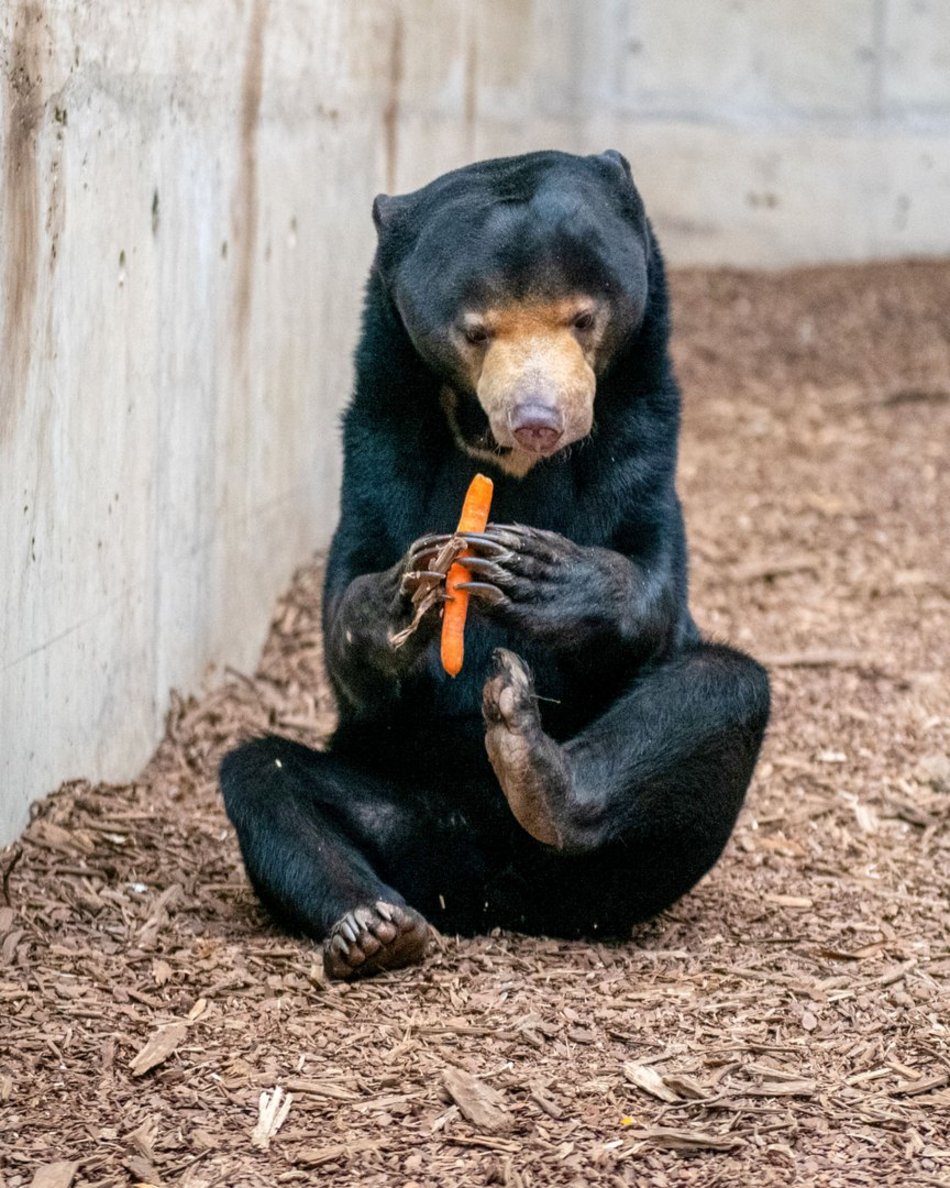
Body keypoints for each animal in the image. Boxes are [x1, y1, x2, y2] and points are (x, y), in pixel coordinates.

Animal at [218, 150, 769, 974]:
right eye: (476, 331)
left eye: (583, 316)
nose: (539, 419)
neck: (500, 452)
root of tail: (491, 893)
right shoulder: (379, 435)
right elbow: (348, 609)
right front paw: (404, 597)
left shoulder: (645, 432)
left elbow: (654, 589)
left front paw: (539, 574)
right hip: (402, 804)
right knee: (263, 778)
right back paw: (371, 927)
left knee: (723, 688)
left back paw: (533, 768)